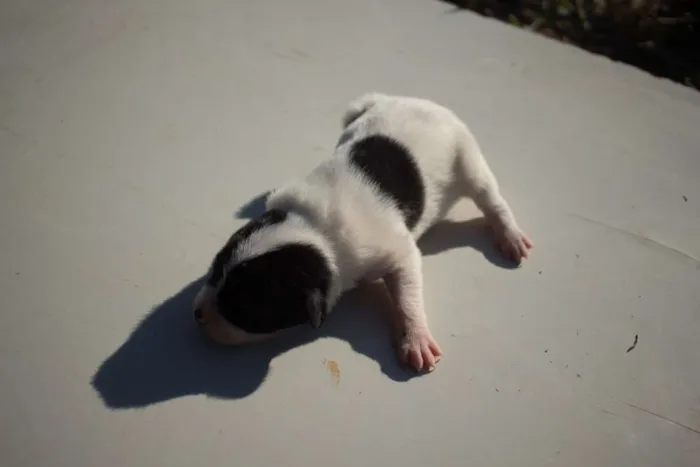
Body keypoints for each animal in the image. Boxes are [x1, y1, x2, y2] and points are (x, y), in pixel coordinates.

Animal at [191, 93, 532, 374]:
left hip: (467, 159)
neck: (315, 230)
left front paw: (415, 337)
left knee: (491, 198)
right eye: (214, 269)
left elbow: (408, 294)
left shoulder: (399, 254)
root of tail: (418, 100)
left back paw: (510, 235)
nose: (197, 315)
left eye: (243, 311)